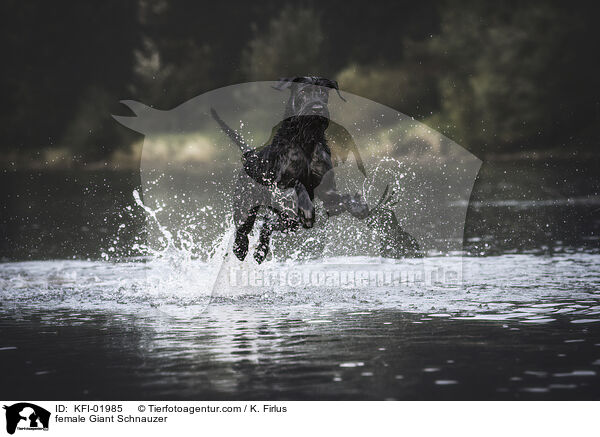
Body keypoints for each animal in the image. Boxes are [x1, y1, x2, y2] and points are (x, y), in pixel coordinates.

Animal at [211, 76, 370, 262]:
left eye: (323, 93)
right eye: (303, 92)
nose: (317, 108)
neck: (306, 142)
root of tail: (251, 156)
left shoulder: (328, 191)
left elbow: (341, 197)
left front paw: (357, 206)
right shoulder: (280, 186)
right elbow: (297, 183)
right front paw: (307, 209)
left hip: (285, 220)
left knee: (268, 224)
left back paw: (260, 251)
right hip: (245, 208)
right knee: (244, 230)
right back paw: (241, 249)